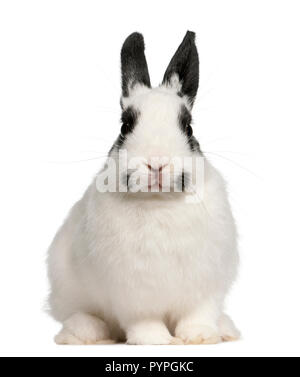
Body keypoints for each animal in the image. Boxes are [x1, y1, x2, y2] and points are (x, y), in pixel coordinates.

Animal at [47, 30, 239, 346]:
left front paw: (199, 337)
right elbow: (143, 321)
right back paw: (86, 333)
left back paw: (225, 329)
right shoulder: (132, 295)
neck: (159, 200)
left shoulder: (204, 286)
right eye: (125, 127)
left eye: (188, 128)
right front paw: (156, 340)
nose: (156, 163)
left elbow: (198, 314)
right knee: (76, 314)